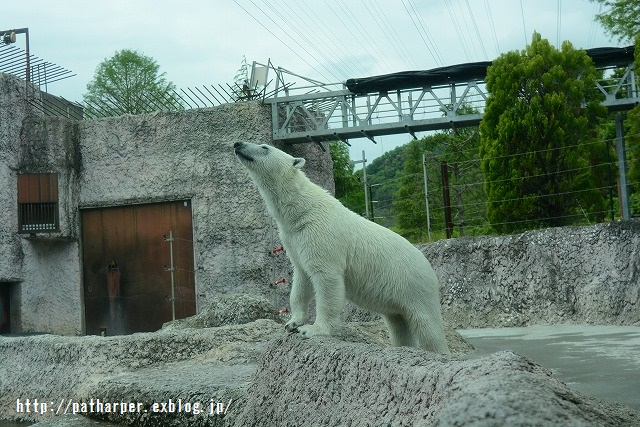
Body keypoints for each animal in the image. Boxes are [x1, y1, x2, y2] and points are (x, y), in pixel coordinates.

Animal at [234, 142, 450, 352]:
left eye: (264, 147)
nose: (238, 144)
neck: (301, 210)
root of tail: (429, 267)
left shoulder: (321, 234)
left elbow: (326, 279)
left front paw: (312, 329)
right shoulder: (294, 238)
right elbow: (301, 279)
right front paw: (292, 323)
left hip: (415, 286)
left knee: (428, 327)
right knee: (398, 323)